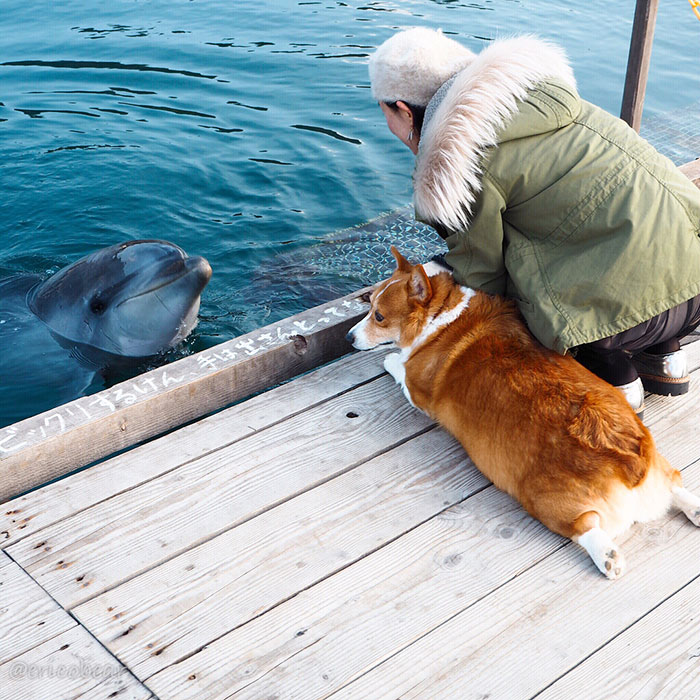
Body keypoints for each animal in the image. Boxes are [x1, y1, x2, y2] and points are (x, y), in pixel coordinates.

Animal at [346, 247, 700, 580]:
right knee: (674, 483)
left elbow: (397, 365)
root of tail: (628, 461)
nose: (349, 337)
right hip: (658, 465)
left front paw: (391, 359)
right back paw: (696, 509)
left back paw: (608, 557)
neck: (441, 312)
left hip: (547, 502)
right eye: (369, 305)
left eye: (379, 316)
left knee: (585, 527)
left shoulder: (414, 387)